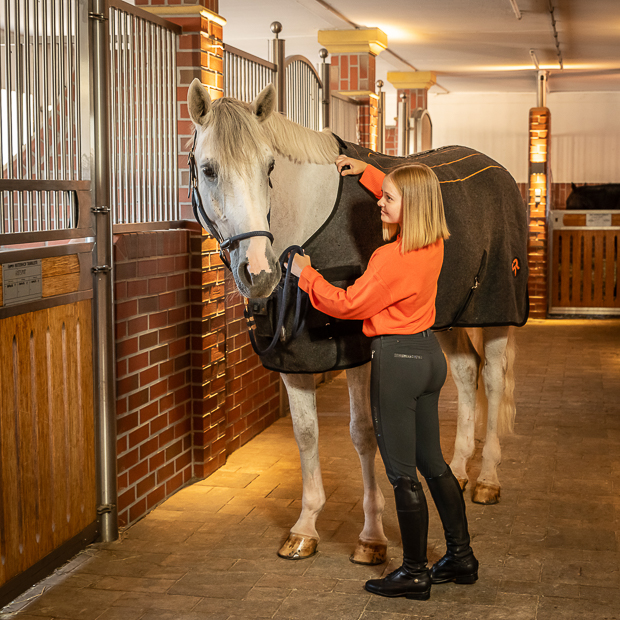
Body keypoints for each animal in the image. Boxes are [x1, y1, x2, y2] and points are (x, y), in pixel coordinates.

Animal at [185, 80, 528, 564]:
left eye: (269, 165)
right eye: (209, 169)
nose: (260, 272)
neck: (307, 221)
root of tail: (499, 172)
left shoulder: (358, 353)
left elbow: (364, 434)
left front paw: (372, 537)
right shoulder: (294, 356)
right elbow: (306, 434)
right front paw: (305, 528)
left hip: (496, 311)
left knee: (494, 380)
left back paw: (487, 480)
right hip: (449, 317)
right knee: (465, 373)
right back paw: (460, 470)